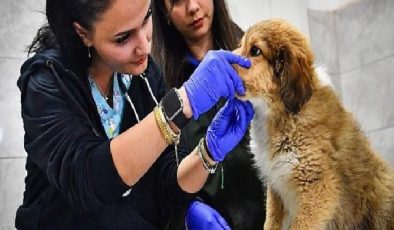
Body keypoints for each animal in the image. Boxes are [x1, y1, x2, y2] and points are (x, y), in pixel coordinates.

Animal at [234, 18, 394, 230]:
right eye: (241, 44)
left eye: (255, 50)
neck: (285, 114)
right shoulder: (276, 188)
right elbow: (271, 222)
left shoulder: (318, 186)